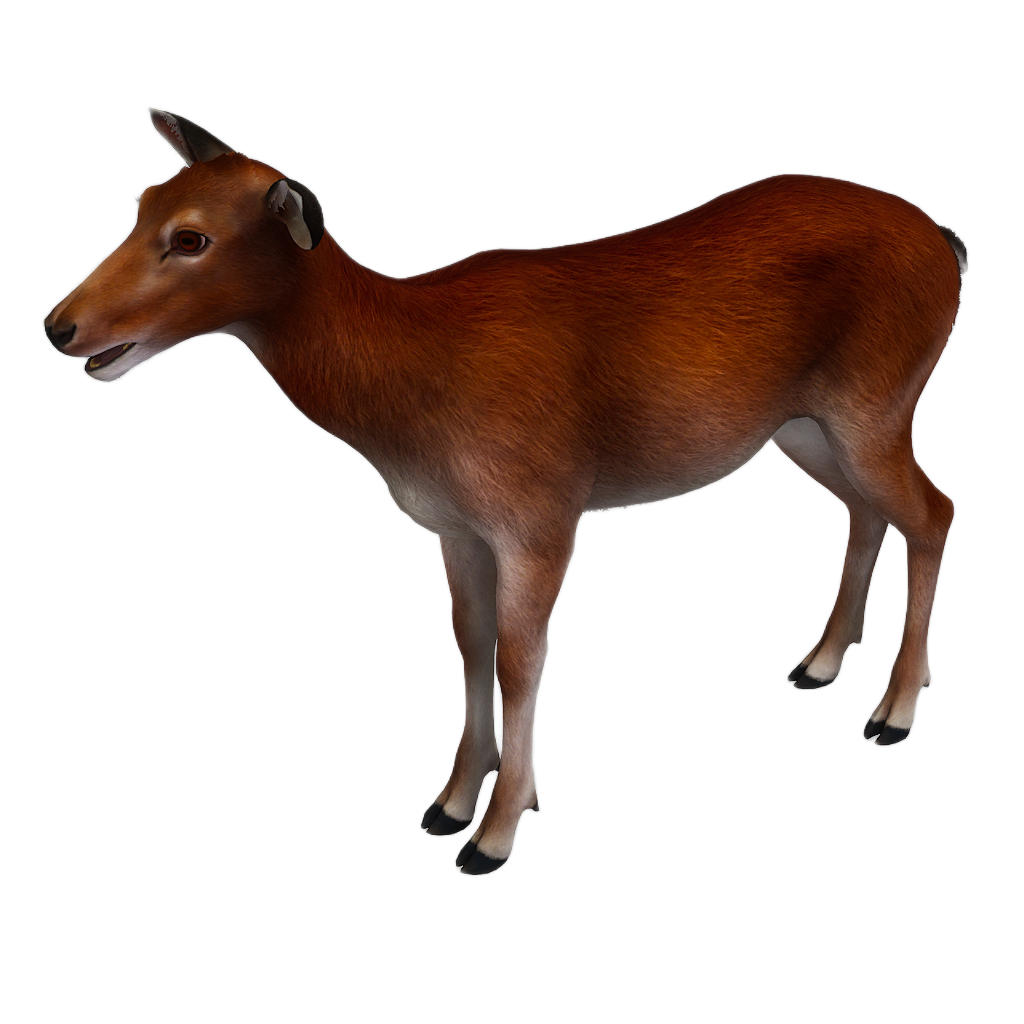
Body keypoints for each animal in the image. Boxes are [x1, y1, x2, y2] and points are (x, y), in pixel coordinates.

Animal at [42, 106, 968, 875]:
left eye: (192, 238)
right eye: (140, 200)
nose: (60, 326)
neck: (410, 385)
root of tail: (948, 242)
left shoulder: (541, 514)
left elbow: (525, 657)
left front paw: (495, 833)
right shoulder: (455, 527)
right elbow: (472, 642)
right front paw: (451, 802)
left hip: (876, 403)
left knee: (934, 509)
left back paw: (892, 712)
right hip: (805, 425)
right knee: (869, 509)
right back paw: (818, 664)